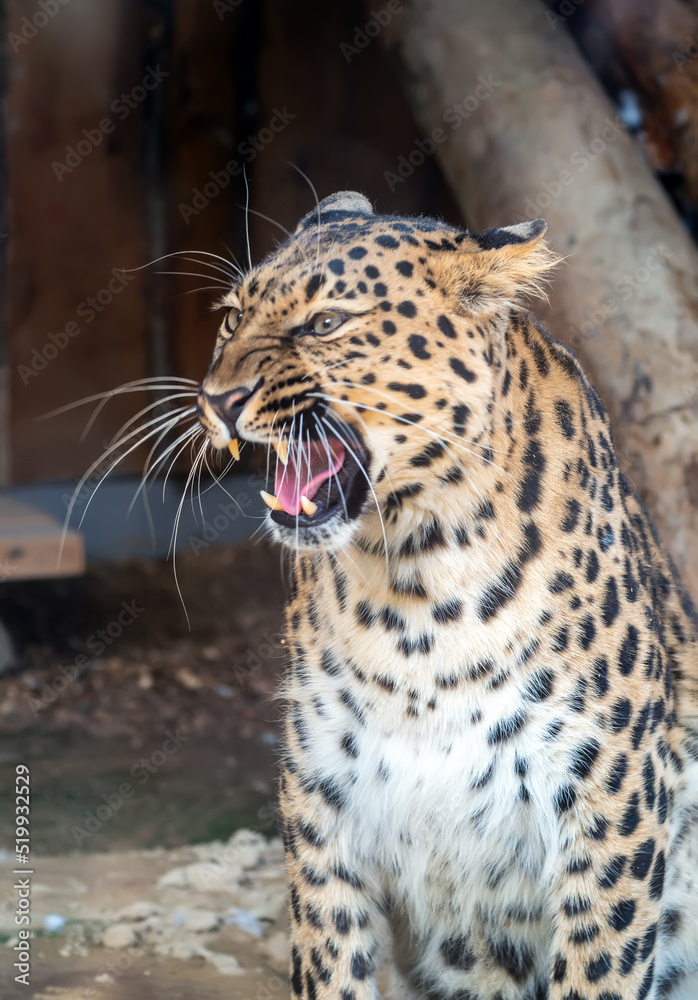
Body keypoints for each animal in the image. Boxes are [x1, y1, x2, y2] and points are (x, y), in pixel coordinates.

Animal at [197, 191, 698, 1000]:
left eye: (325, 324)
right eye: (232, 317)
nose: (217, 400)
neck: (412, 586)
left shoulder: (611, 799)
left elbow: (599, 965)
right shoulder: (323, 801)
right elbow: (333, 963)